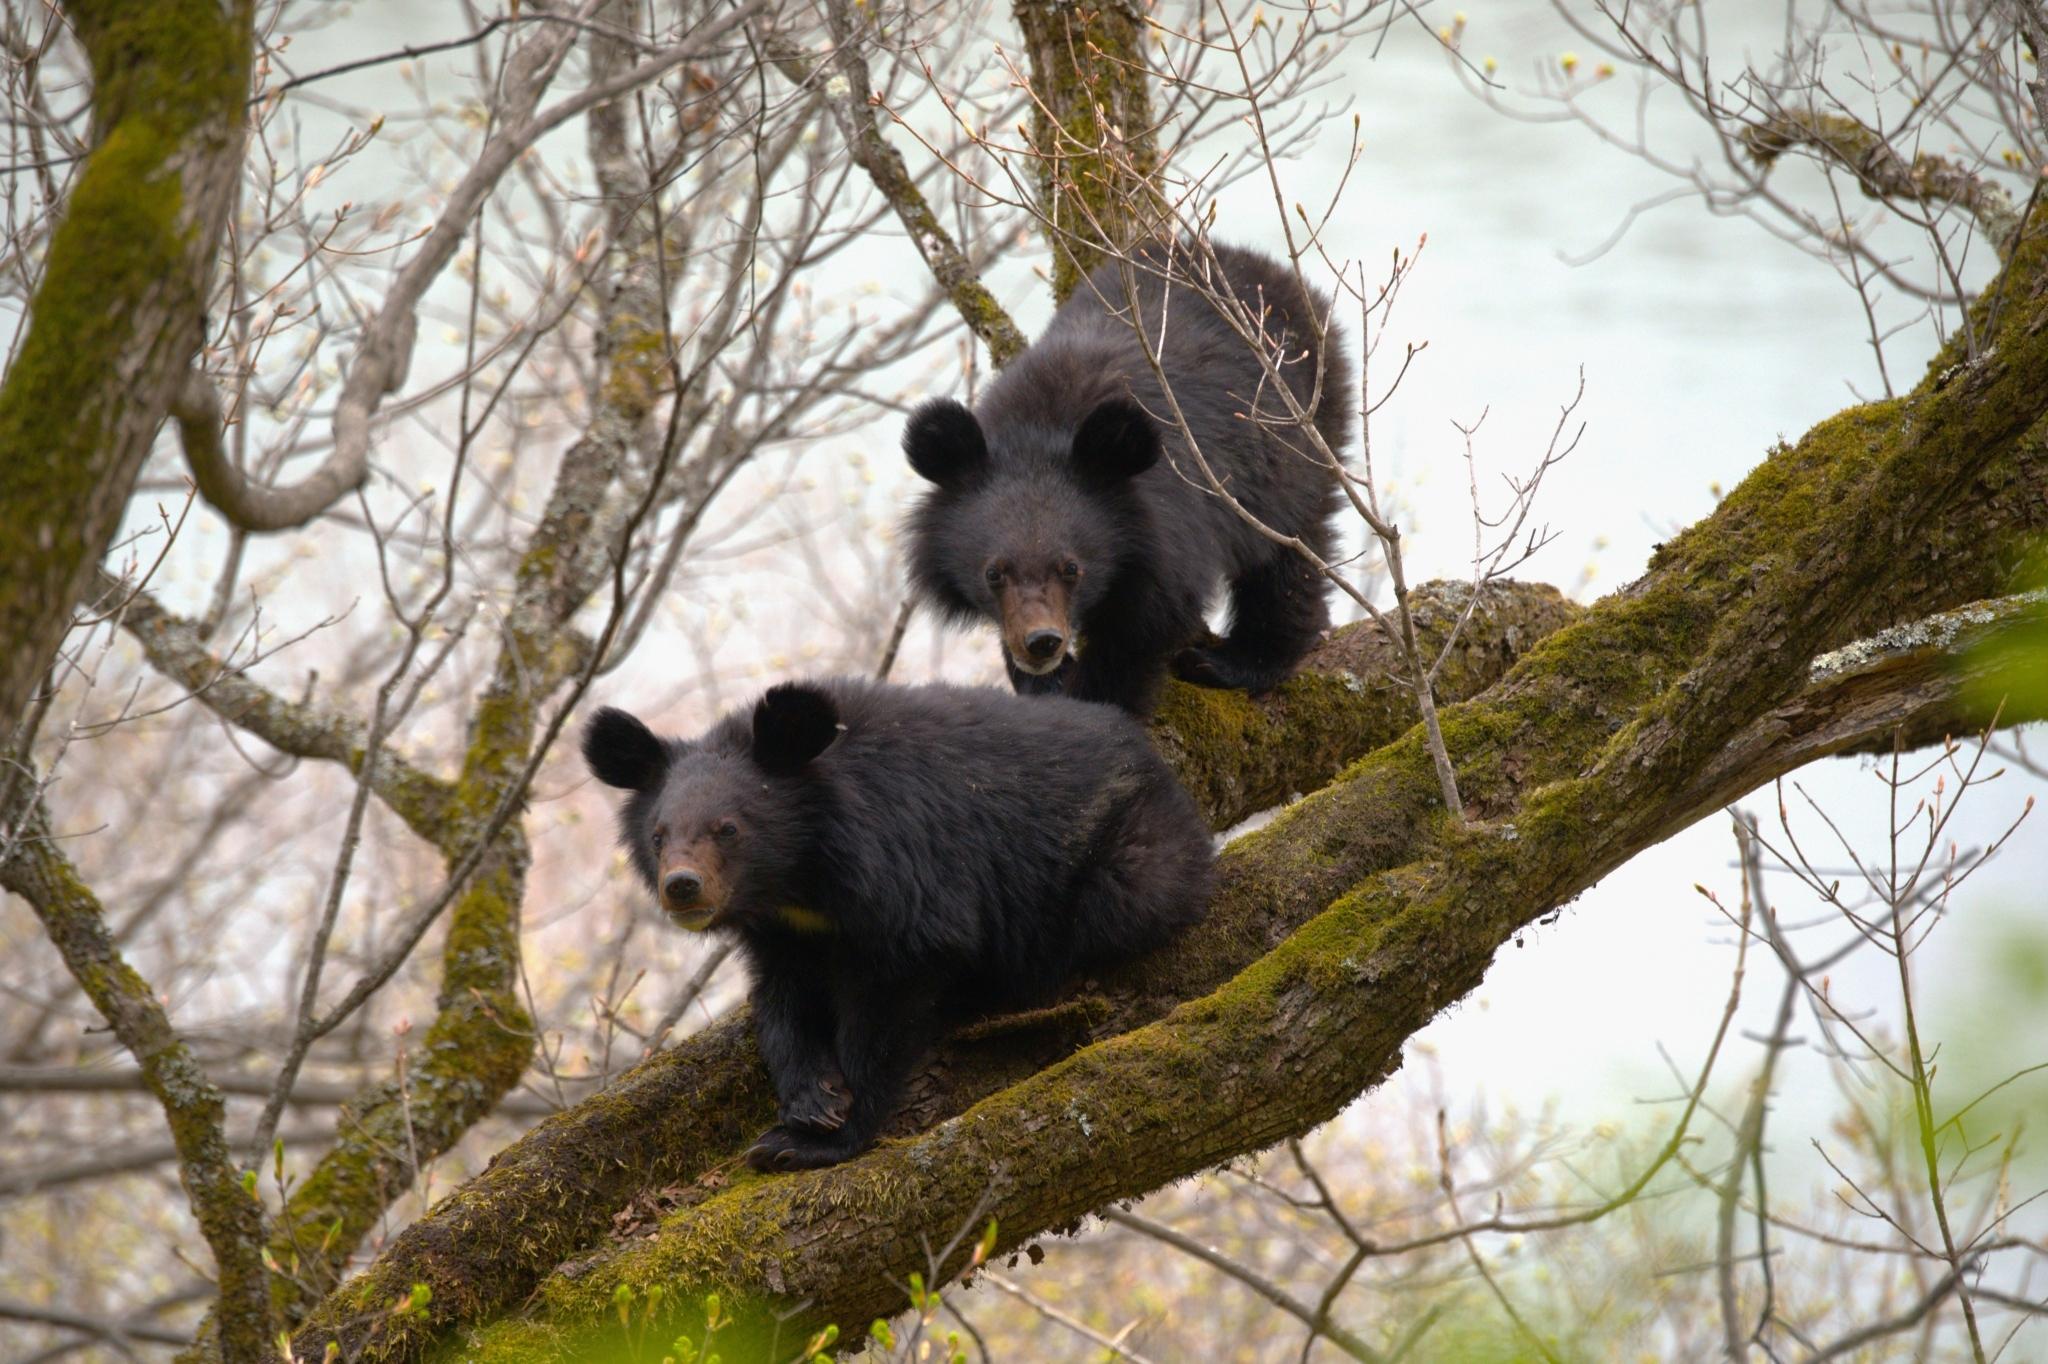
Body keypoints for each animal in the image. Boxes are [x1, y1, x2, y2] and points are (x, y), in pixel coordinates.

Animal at [581, 677, 1215, 1170]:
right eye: (658, 836)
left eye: (728, 828)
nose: (682, 887)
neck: (800, 877)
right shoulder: (786, 932)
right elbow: (782, 999)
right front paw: (812, 1099)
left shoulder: (905, 869)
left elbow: (899, 982)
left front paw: (818, 1137)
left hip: (1125, 857)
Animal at [903, 240, 1351, 716]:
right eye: (993, 573)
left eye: (1072, 568)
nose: (1042, 642)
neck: (1037, 428)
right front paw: (1041, 681)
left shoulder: (1171, 535)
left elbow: (1140, 633)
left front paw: (1095, 704)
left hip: (1299, 442)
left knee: (1289, 553)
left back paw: (1236, 661)